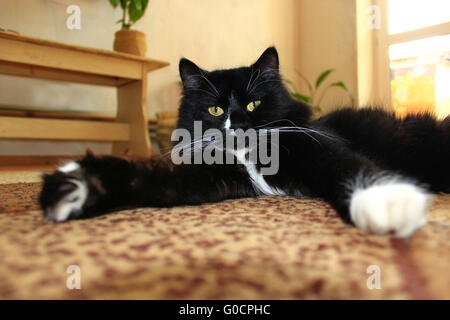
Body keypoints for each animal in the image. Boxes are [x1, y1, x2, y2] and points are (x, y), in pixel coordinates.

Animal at [40, 47, 448, 238]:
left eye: (253, 103)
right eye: (216, 109)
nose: (236, 123)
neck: (249, 154)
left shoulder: (319, 149)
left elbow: (349, 166)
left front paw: (387, 202)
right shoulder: (213, 174)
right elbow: (150, 178)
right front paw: (77, 186)